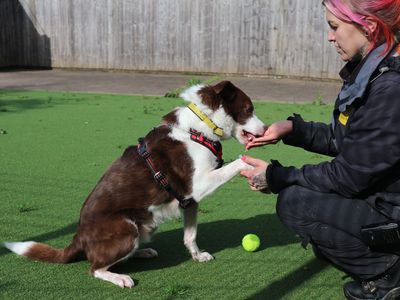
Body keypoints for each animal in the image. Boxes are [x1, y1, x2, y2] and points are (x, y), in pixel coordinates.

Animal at [3, 80, 266, 288]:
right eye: (248, 108)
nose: (265, 129)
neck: (198, 128)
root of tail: (78, 238)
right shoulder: (198, 186)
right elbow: (237, 163)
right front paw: (254, 169)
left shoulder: (190, 201)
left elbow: (190, 236)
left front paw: (197, 256)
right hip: (126, 226)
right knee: (95, 268)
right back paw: (119, 277)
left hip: (143, 226)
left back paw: (142, 252)